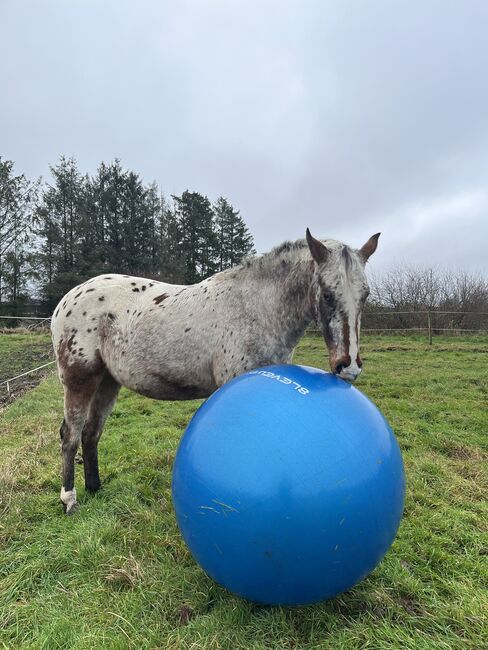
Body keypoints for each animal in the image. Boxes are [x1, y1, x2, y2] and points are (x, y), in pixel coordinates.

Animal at [52, 229, 382, 512]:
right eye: (327, 294)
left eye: (365, 295)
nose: (348, 365)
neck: (257, 308)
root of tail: (66, 300)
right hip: (79, 380)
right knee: (71, 435)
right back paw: (70, 499)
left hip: (107, 382)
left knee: (91, 433)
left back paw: (95, 488)